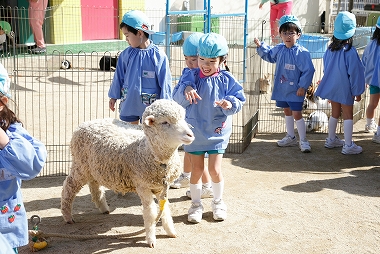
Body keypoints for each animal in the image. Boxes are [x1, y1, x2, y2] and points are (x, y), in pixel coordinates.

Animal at [60, 99, 194, 248]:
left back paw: (103, 208)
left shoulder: (162, 187)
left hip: (95, 167)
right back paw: (68, 216)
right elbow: (151, 213)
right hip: (80, 166)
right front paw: (151, 240)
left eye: (183, 118)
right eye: (165, 122)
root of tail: (85, 123)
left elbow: (164, 209)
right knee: (68, 188)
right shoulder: (143, 186)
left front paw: (171, 231)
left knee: (95, 186)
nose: (190, 135)